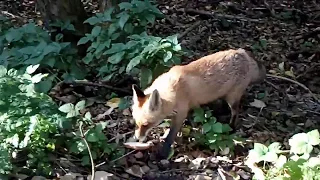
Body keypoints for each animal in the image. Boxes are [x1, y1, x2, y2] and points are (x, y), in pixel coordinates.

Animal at [129, 47, 264, 159]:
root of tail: (243, 53)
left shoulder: (181, 113)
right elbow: (195, 119)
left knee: (235, 112)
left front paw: (163, 153)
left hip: (233, 98)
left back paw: (231, 127)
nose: (138, 138)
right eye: (136, 123)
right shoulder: (191, 106)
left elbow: (171, 136)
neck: (172, 91)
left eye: (146, 124)